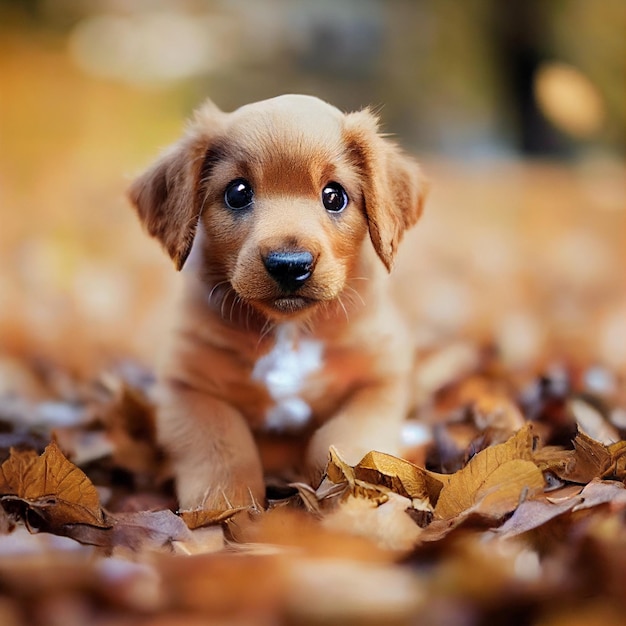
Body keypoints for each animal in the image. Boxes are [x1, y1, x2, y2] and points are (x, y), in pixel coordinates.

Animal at [129, 95, 426, 510]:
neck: (290, 331)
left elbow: (347, 438)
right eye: (237, 192)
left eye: (334, 196)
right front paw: (225, 511)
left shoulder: (381, 376)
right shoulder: (185, 384)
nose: (290, 265)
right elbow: (222, 446)